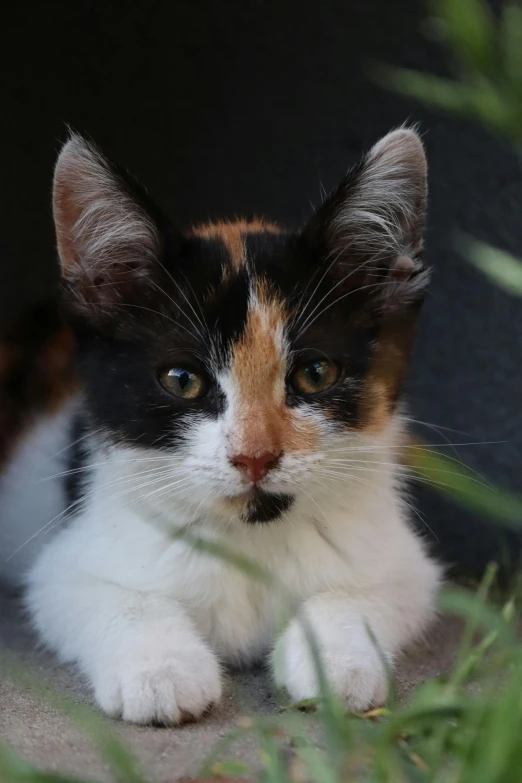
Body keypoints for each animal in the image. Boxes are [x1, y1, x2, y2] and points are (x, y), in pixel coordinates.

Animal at [0, 127, 438, 724]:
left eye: (315, 374)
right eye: (182, 379)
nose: (255, 456)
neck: (249, 539)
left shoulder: (406, 564)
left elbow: (367, 591)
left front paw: (336, 663)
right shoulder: (65, 564)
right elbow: (106, 593)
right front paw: (160, 670)